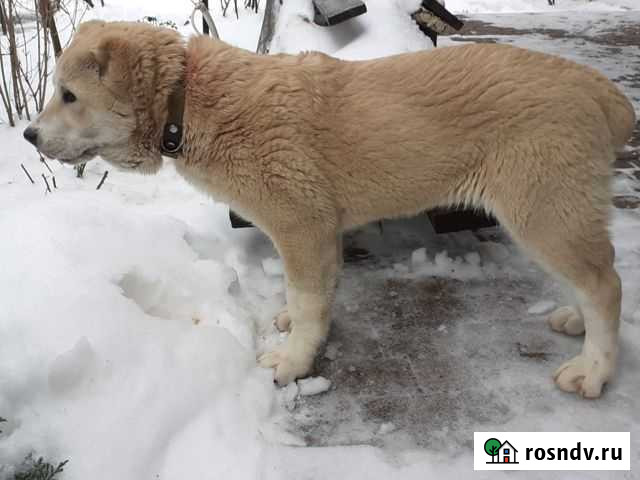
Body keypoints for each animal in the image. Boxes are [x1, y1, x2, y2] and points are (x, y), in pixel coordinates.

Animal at [25, 19, 636, 398]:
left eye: (70, 96)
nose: (28, 136)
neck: (188, 99)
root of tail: (595, 85)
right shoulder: (317, 232)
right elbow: (312, 292)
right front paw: (293, 326)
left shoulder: (301, 223)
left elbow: (309, 298)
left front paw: (293, 360)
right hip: (557, 211)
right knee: (590, 277)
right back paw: (576, 320)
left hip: (543, 209)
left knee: (606, 284)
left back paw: (594, 371)